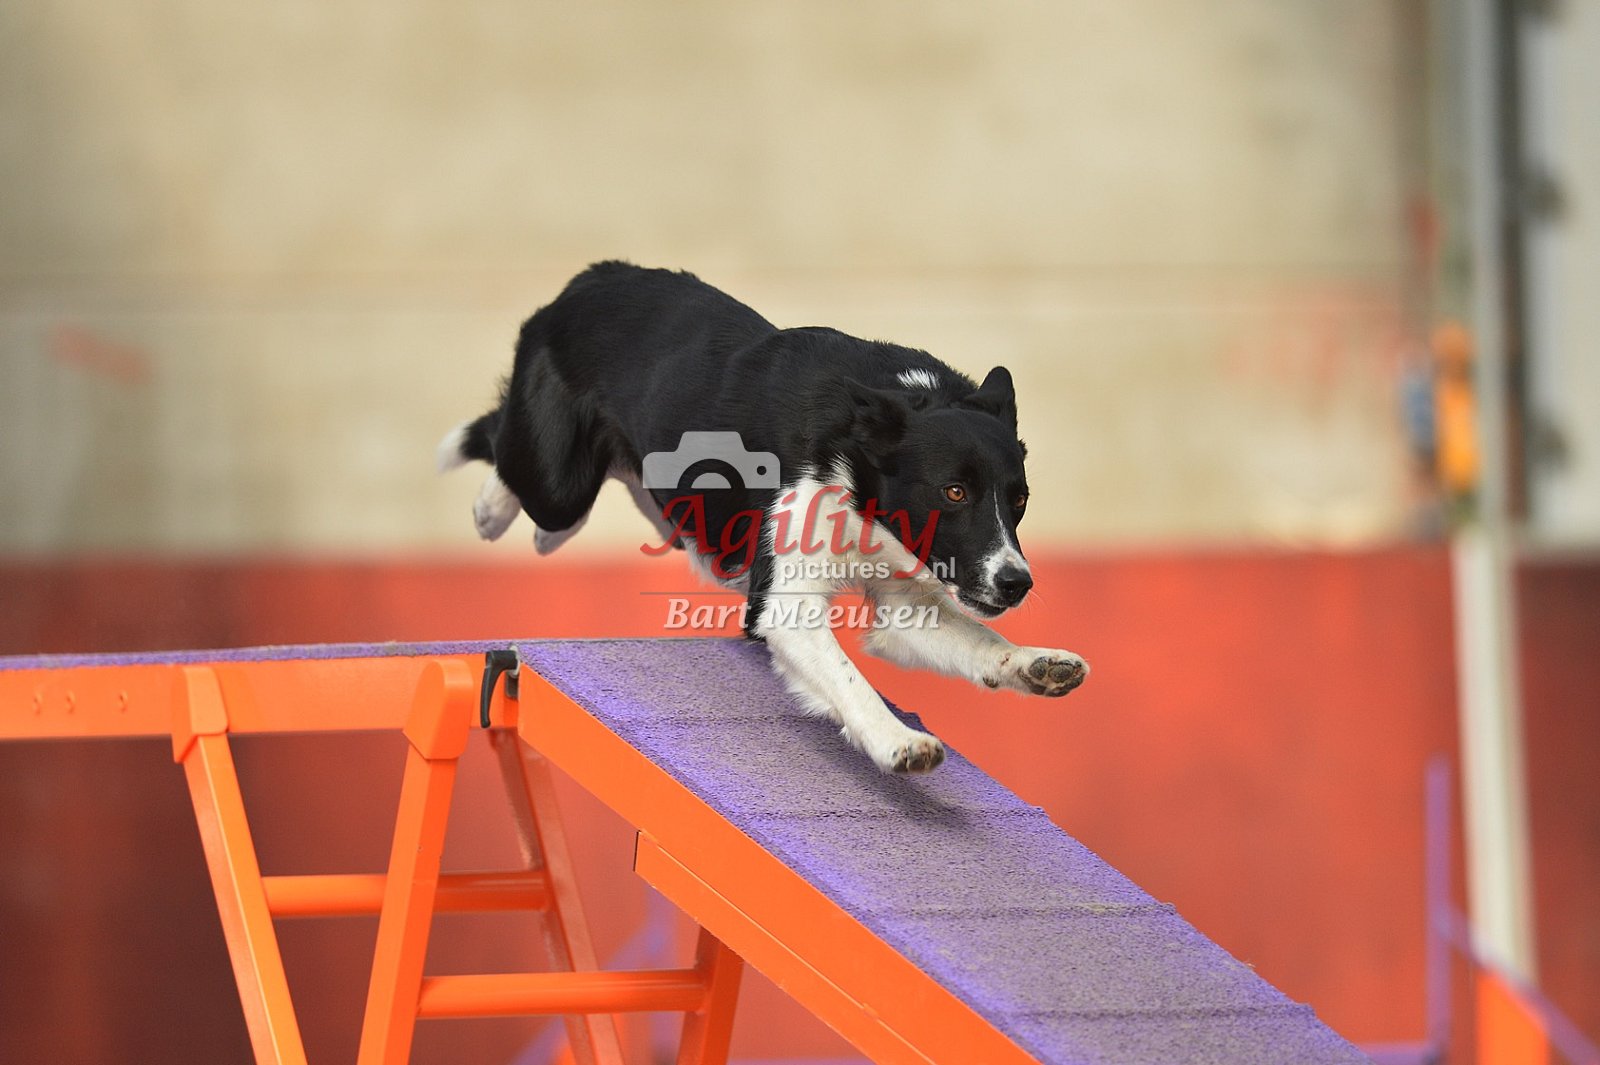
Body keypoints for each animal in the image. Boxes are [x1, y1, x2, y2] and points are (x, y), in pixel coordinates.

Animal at [439, 261, 1087, 773]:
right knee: (514, 457)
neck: (860, 458)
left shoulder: (906, 598)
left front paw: (1035, 665)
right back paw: (491, 509)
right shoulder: (784, 601)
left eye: (1020, 500)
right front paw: (897, 741)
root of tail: (590, 277)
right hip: (557, 478)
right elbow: (850, 679)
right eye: (953, 492)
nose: (1017, 582)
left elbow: (979, 639)